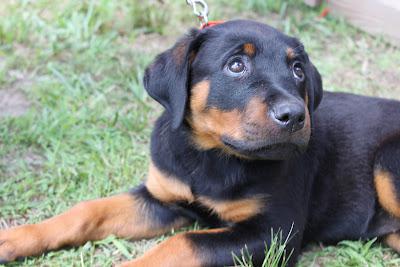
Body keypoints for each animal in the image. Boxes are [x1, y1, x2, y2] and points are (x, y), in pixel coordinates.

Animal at [0, 19, 400, 266]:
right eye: (236, 65)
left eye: (298, 69)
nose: (294, 115)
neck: (211, 155)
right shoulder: (163, 197)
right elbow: (87, 211)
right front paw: (12, 239)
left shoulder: (274, 234)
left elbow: (182, 243)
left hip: (387, 160)